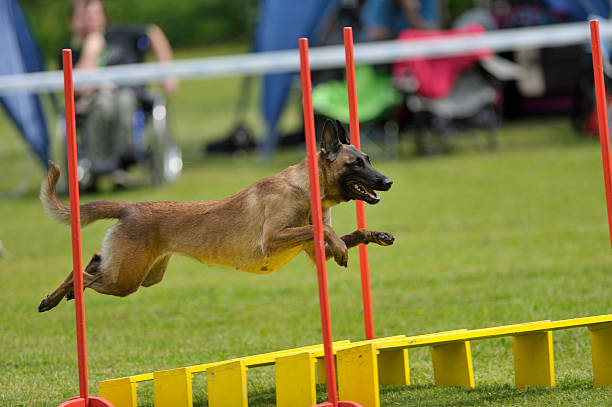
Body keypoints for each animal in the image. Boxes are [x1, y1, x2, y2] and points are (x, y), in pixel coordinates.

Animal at [38, 120, 394, 312]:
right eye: (356, 164)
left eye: (369, 158)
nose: (388, 182)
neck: (305, 188)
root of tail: (130, 206)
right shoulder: (273, 238)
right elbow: (326, 233)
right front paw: (342, 249)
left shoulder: (311, 248)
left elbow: (353, 232)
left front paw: (377, 235)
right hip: (124, 279)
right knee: (81, 275)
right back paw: (57, 296)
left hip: (142, 274)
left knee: (94, 260)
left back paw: (61, 294)